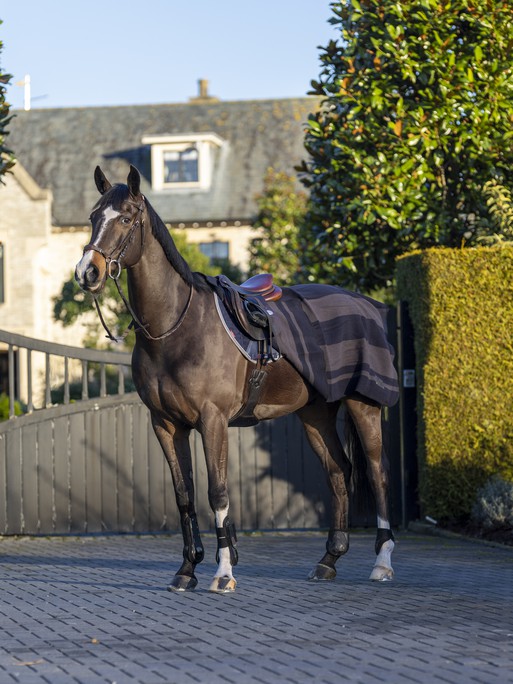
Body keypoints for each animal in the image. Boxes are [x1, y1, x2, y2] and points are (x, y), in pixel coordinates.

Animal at [75, 166, 396, 592]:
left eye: (126, 218)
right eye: (94, 217)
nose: (87, 271)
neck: (175, 328)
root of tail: (368, 306)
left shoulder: (212, 421)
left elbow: (218, 493)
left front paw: (223, 572)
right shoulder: (166, 425)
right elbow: (184, 495)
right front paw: (187, 569)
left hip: (364, 406)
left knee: (377, 473)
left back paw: (382, 563)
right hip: (316, 414)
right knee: (338, 471)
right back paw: (328, 559)